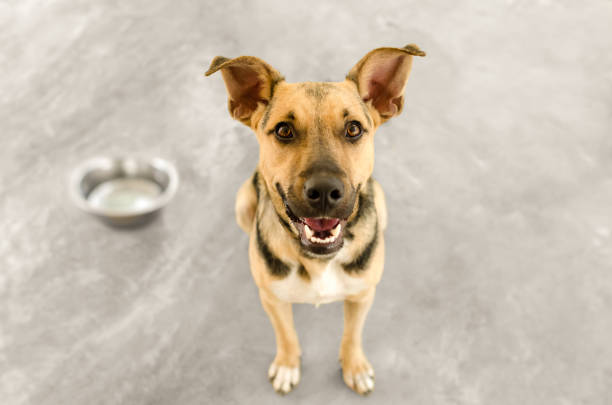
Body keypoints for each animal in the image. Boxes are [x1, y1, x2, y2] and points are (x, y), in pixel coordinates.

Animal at [206, 44, 426, 394]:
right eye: (284, 130)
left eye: (354, 129)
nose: (324, 191)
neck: (319, 259)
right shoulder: (273, 300)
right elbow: (286, 334)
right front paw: (287, 364)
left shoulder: (363, 294)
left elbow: (353, 334)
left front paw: (354, 366)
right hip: (242, 203)